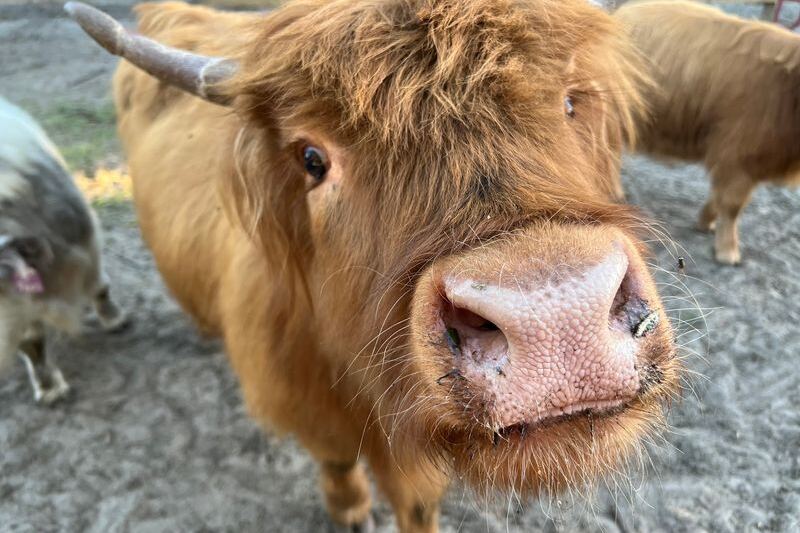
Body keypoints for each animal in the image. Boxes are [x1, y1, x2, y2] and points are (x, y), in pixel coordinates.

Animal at [68, 1, 680, 531]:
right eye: (312, 158)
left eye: (571, 103)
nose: (556, 314)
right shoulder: (307, 406)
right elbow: (338, 459)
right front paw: (350, 511)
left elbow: (417, 502)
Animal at [616, 0, 800, 265]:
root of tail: (623, 11)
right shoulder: (739, 154)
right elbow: (733, 205)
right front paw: (727, 251)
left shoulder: (736, 158)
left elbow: (721, 196)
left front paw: (706, 221)